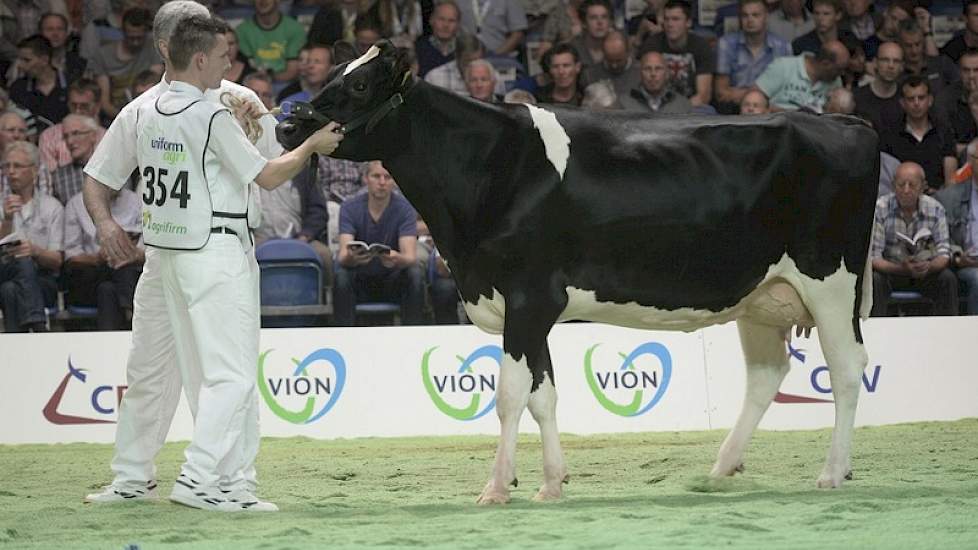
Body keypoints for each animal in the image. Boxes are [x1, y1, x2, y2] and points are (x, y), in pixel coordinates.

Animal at [274, 41, 876, 502]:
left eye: (358, 85)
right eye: (333, 70)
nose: (288, 123)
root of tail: (842, 121)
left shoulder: (528, 297)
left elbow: (510, 395)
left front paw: (497, 487)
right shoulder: (529, 308)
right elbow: (543, 396)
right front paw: (551, 483)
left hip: (831, 283)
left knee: (847, 370)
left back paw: (831, 473)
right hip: (761, 294)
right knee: (767, 374)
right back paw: (722, 468)